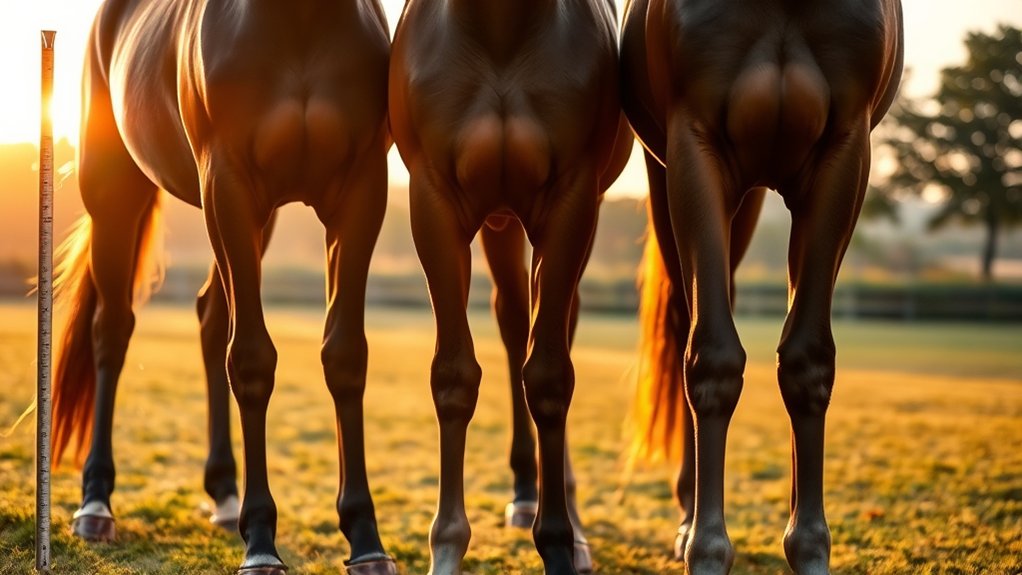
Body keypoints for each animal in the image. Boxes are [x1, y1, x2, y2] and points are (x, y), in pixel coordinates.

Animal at [49, 1, 395, 573]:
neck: (302, 20)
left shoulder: (359, 193)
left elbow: (345, 357)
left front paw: (366, 539)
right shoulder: (228, 186)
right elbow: (252, 359)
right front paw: (261, 545)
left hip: (253, 221)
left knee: (210, 319)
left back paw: (224, 494)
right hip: (117, 191)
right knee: (111, 331)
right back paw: (96, 504)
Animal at [388, 1, 633, 573]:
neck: (498, 27)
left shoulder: (571, 205)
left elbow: (549, 377)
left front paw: (561, 545)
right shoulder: (432, 205)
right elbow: (454, 375)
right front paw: (447, 549)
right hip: (501, 225)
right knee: (514, 320)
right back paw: (525, 492)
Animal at [620, 0, 903, 573]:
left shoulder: (845, 155)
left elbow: (807, 359)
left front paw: (810, 546)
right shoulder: (694, 149)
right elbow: (712, 357)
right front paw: (707, 548)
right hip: (679, 185)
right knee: (689, 327)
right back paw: (687, 520)